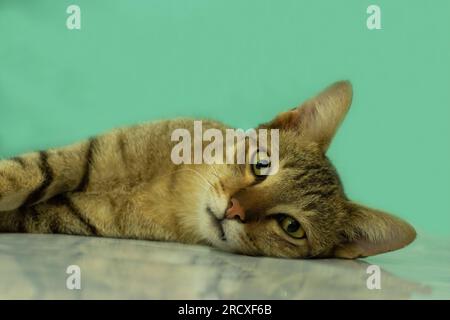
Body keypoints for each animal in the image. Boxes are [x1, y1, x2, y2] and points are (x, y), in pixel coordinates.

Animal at [0, 81, 414, 258]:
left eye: (291, 227)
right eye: (261, 164)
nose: (234, 209)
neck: (173, 191)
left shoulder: (72, 215)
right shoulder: (92, 153)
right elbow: (32, 169)